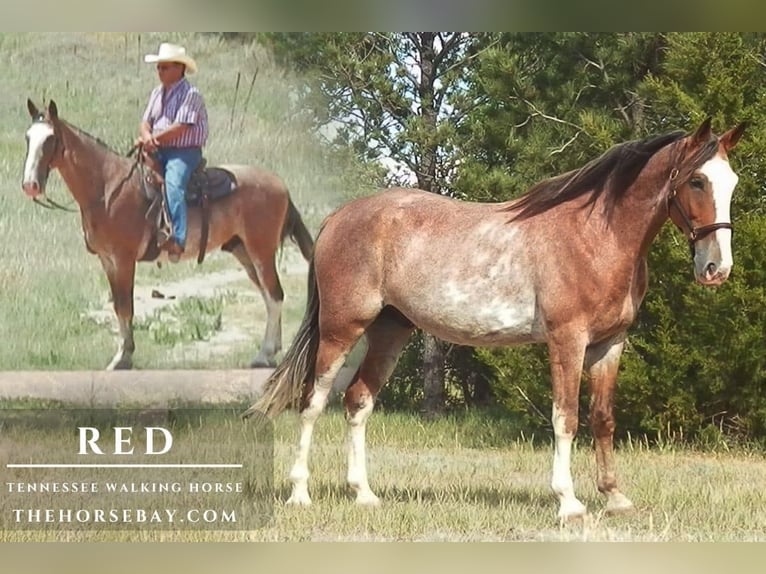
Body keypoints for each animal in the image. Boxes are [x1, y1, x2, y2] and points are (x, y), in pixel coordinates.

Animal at [21, 99, 314, 370]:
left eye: (50, 139)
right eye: (28, 137)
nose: (30, 185)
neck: (107, 188)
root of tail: (280, 185)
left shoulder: (124, 259)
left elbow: (126, 306)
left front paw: (123, 357)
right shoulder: (108, 260)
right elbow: (118, 307)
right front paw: (123, 354)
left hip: (260, 250)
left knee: (274, 295)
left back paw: (263, 355)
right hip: (244, 252)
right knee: (268, 296)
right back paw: (272, 351)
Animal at [243, 117, 746, 520]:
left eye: (733, 182)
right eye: (697, 181)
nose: (716, 268)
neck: (597, 235)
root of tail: (338, 216)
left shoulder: (610, 343)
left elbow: (602, 418)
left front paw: (615, 498)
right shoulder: (568, 340)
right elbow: (566, 418)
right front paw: (569, 502)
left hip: (390, 331)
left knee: (357, 401)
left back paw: (364, 494)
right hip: (341, 329)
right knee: (313, 402)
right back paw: (300, 494)